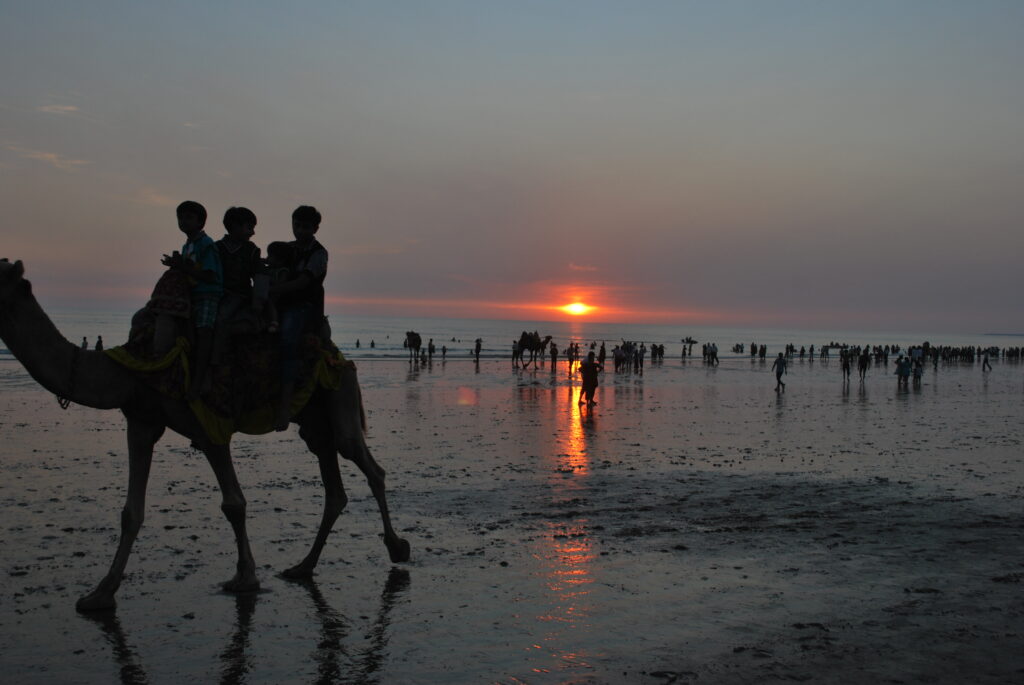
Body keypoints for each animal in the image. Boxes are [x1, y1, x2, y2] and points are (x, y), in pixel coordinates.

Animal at [0, 259, 407, 610]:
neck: (129, 368)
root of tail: (339, 354)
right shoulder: (142, 421)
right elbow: (131, 511)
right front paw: (100, 593)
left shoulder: (210, 424)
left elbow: (234, 504)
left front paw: (246, 578)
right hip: (315, 422)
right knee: (334, 488)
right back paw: (303, 566)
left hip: (340, 398)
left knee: (368, 465)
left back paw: (397, 547)